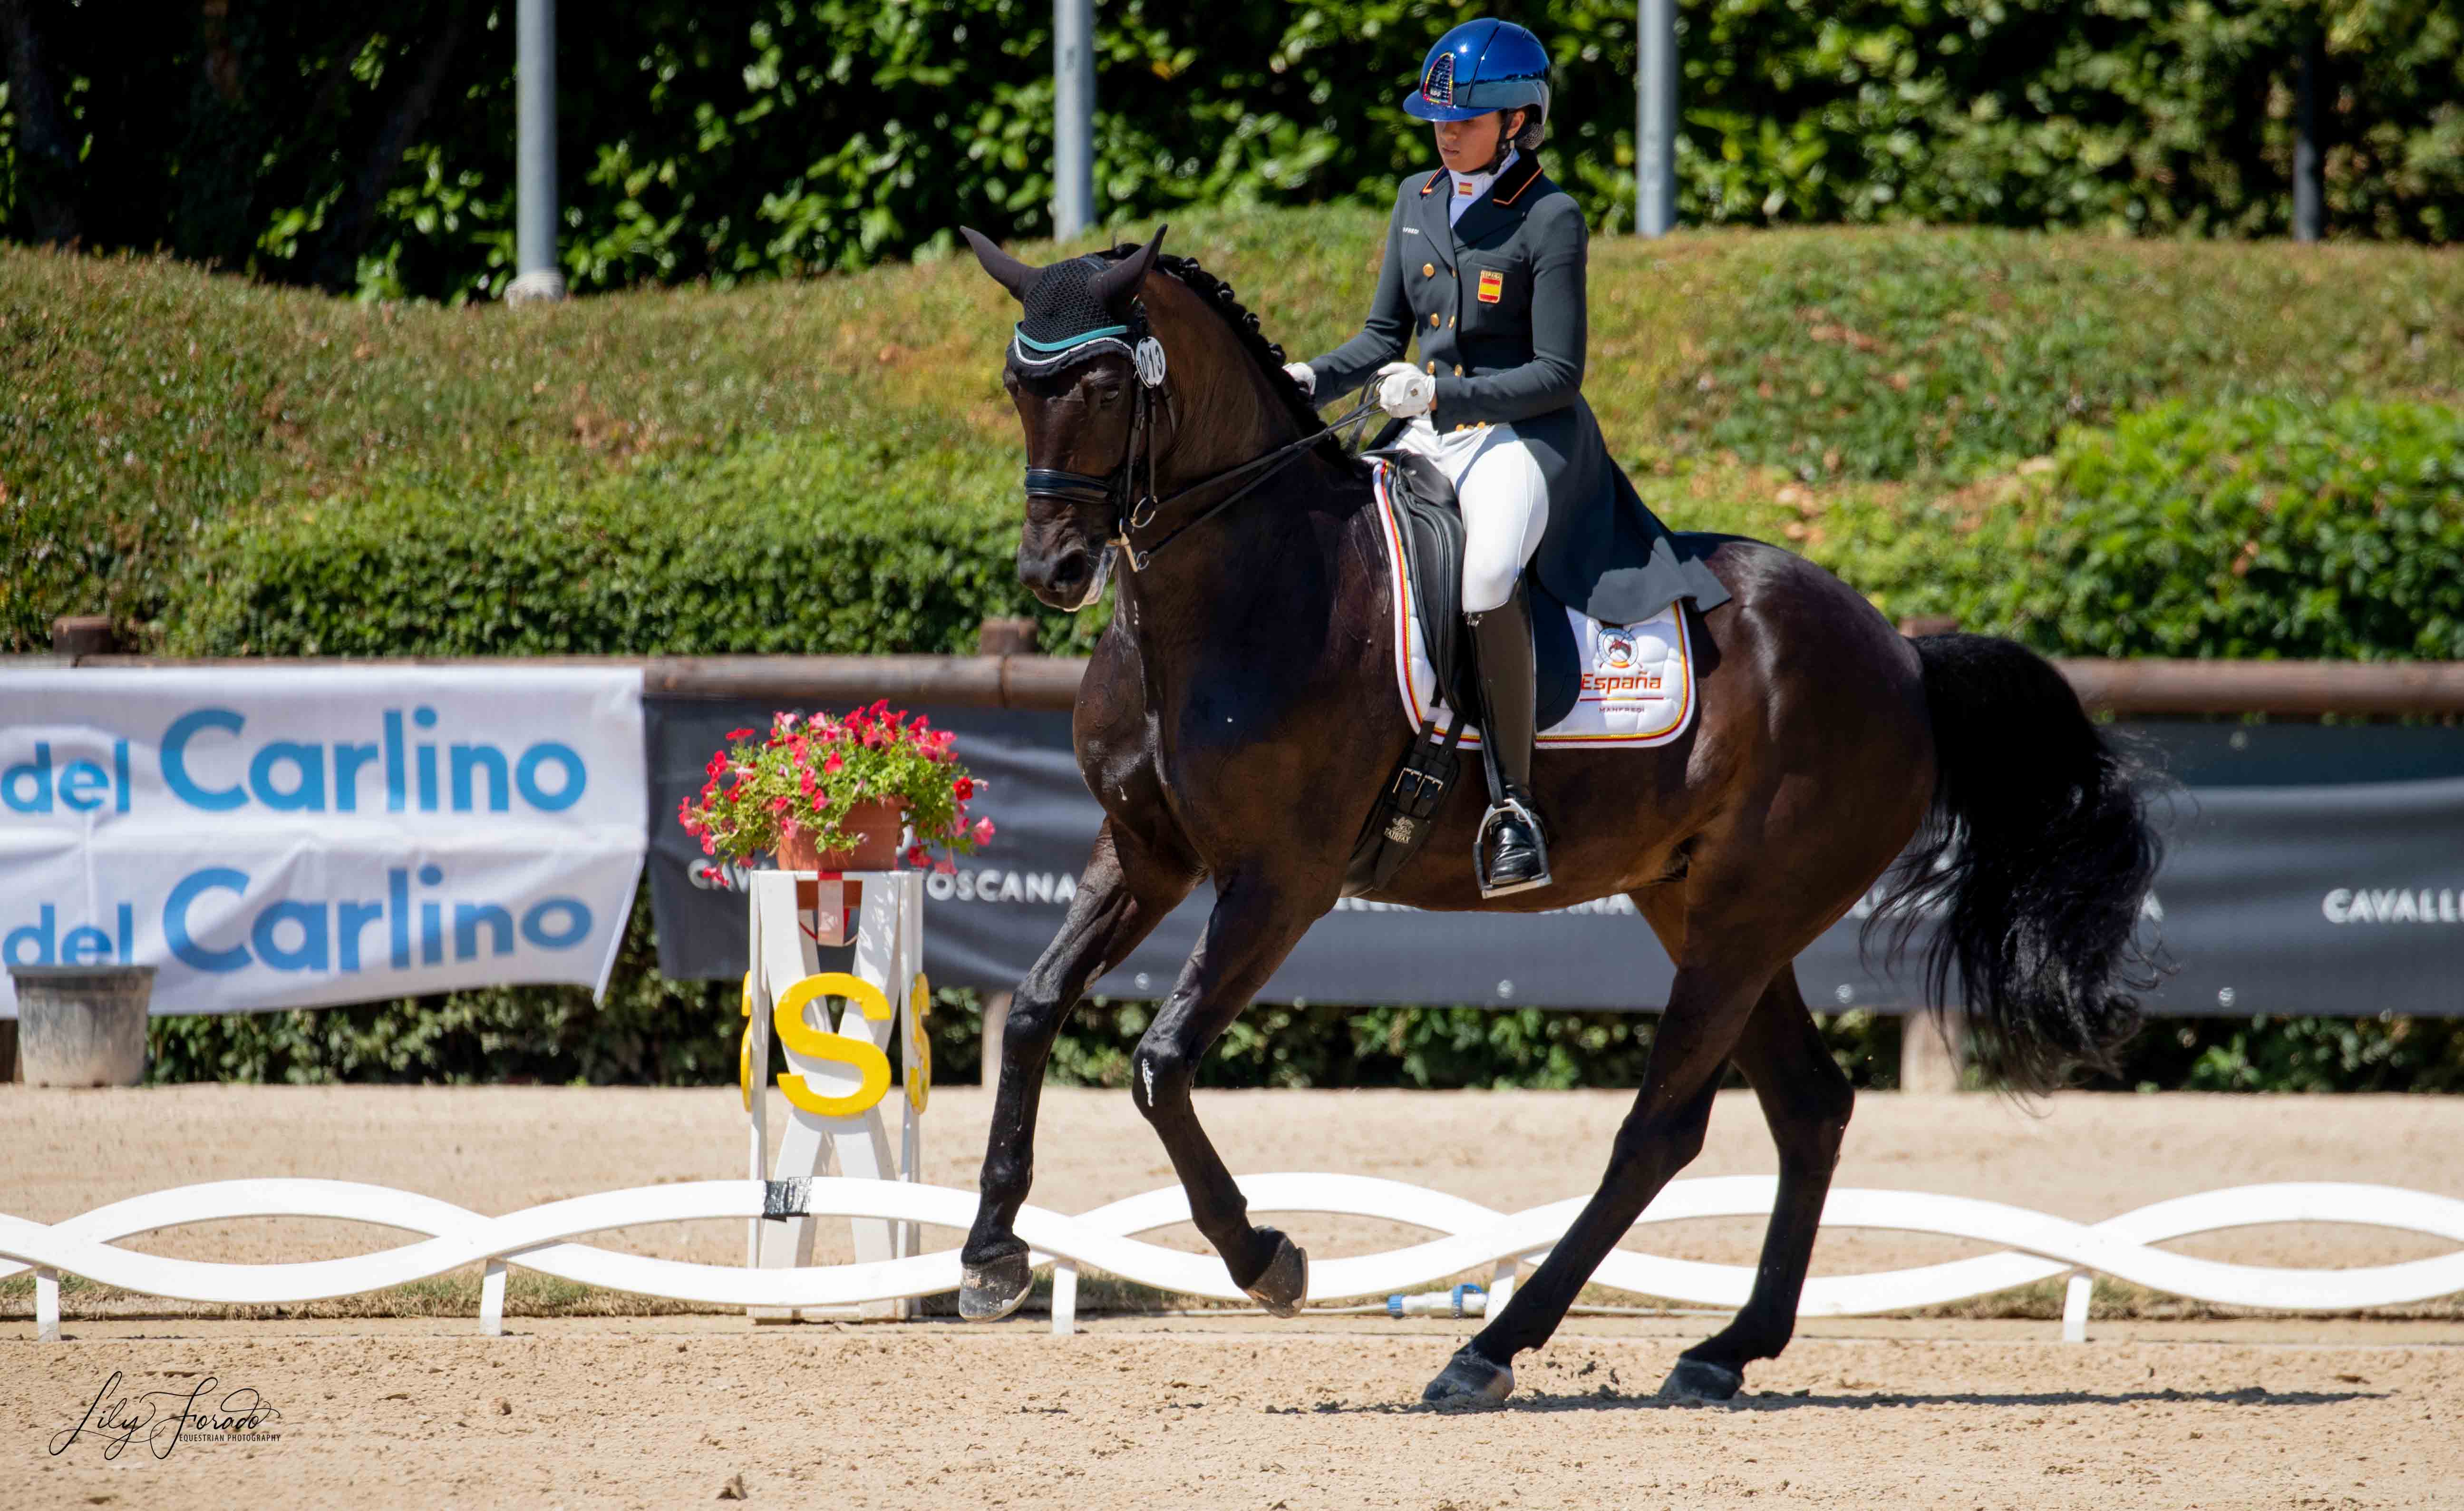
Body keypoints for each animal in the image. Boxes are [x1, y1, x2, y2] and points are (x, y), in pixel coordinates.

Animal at [951, 224, 2148, 1400]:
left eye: (1108, 384)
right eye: (1016, 381)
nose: (1053, 568)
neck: (1243, 588)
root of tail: (1900, 656)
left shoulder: (1279, 883)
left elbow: (1159, 1063)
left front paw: (1267, 1257)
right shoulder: (1145, 851)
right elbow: (1034, 1005)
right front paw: (990, 1255)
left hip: (1745, 915)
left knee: (1661, 1126)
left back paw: (1490, 1347)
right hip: (1703, 906)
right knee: (1807, 1104)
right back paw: (1723, 1349)